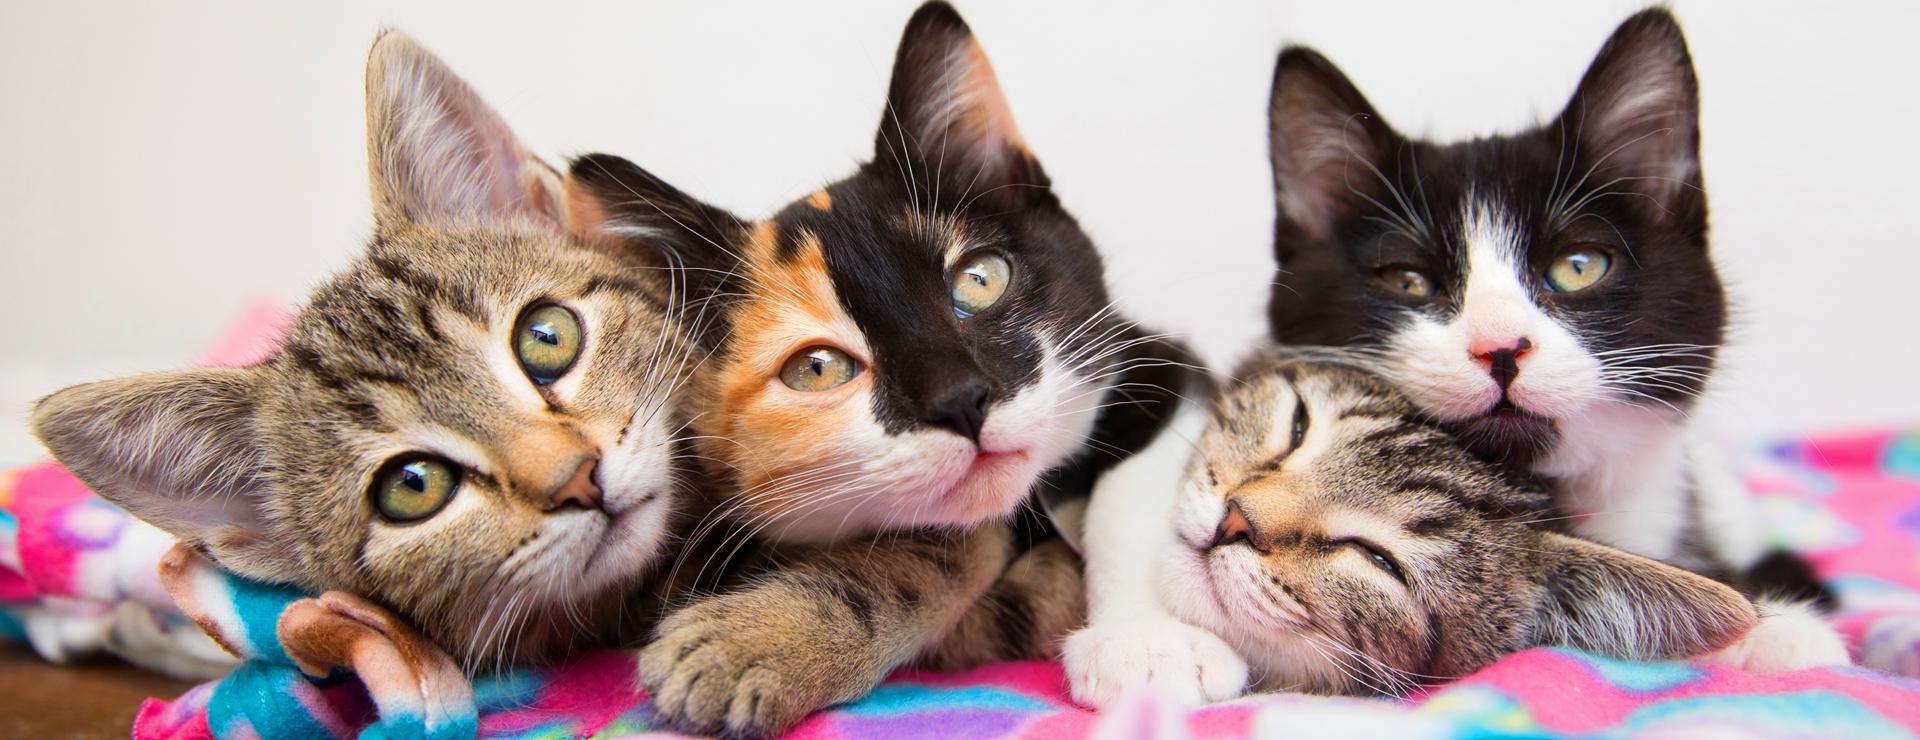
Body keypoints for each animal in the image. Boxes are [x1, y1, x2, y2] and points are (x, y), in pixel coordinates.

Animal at [560, 4, 1198, 730]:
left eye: (980, 279)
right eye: (816, 368)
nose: (961, 400)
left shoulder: (1157, 360)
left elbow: (1128, 490)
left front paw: (1139, 643)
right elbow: (948, 549)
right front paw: (771, 635)